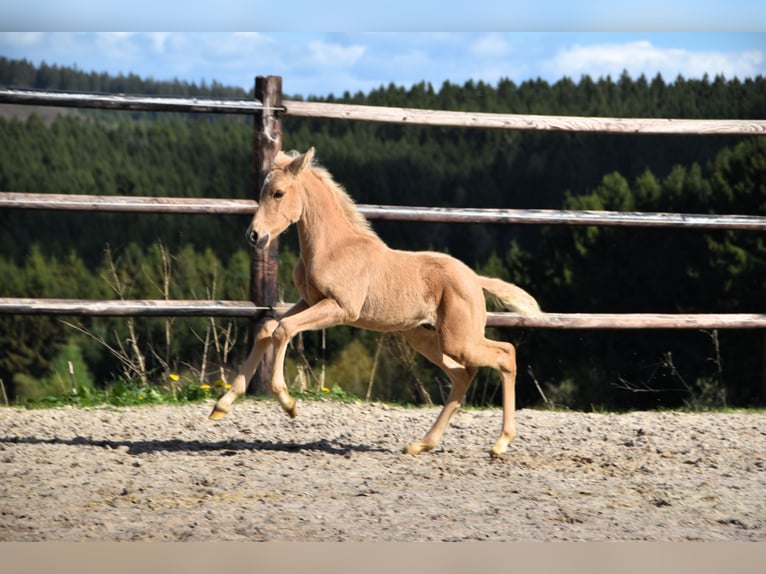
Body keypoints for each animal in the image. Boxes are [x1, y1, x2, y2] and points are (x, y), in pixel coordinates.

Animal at [213, 148, 544, 460]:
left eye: (278, 193)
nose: (254, 236)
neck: (333, 247)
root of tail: (475, 278)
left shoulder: (340, 308)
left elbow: (283, 329)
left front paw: (288, 403)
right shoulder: (310, 300)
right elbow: (268, 328)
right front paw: (222, 405)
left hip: (459, 339)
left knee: (506, 355)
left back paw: (500, 443)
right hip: (425, 337)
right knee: (463, 375)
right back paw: (421, 444)